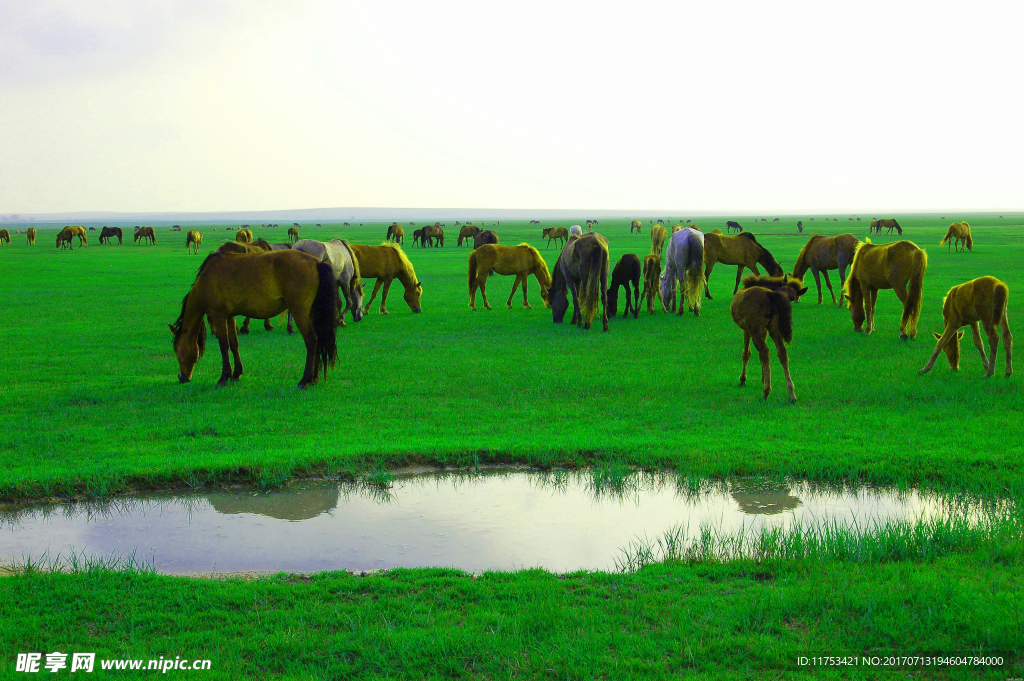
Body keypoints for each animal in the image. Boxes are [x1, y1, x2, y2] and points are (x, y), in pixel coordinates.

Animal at [168, 249, 339, 387]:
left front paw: (224, 378)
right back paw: (314, 378)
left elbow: (223, 346)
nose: (181, 377)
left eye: (176, 350)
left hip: (300, 313)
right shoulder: (230, 316)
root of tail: (316, 262)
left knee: (311, 341)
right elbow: (234, 344)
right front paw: (236, 374)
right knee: (318, 341)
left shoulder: (218, 315)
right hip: (311, 314)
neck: (207, 277)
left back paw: (305, 380)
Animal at [733, 274, 802, 403]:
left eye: (793, 297)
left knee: (764, 351)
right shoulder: (764, 329)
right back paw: (791, 394)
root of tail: (770, 295)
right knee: (781, 352)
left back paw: (765, 392)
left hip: (755, 330)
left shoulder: (747, 329)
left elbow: (746, 353)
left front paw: (743, 379)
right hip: (774, 327)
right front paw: (763, 377)